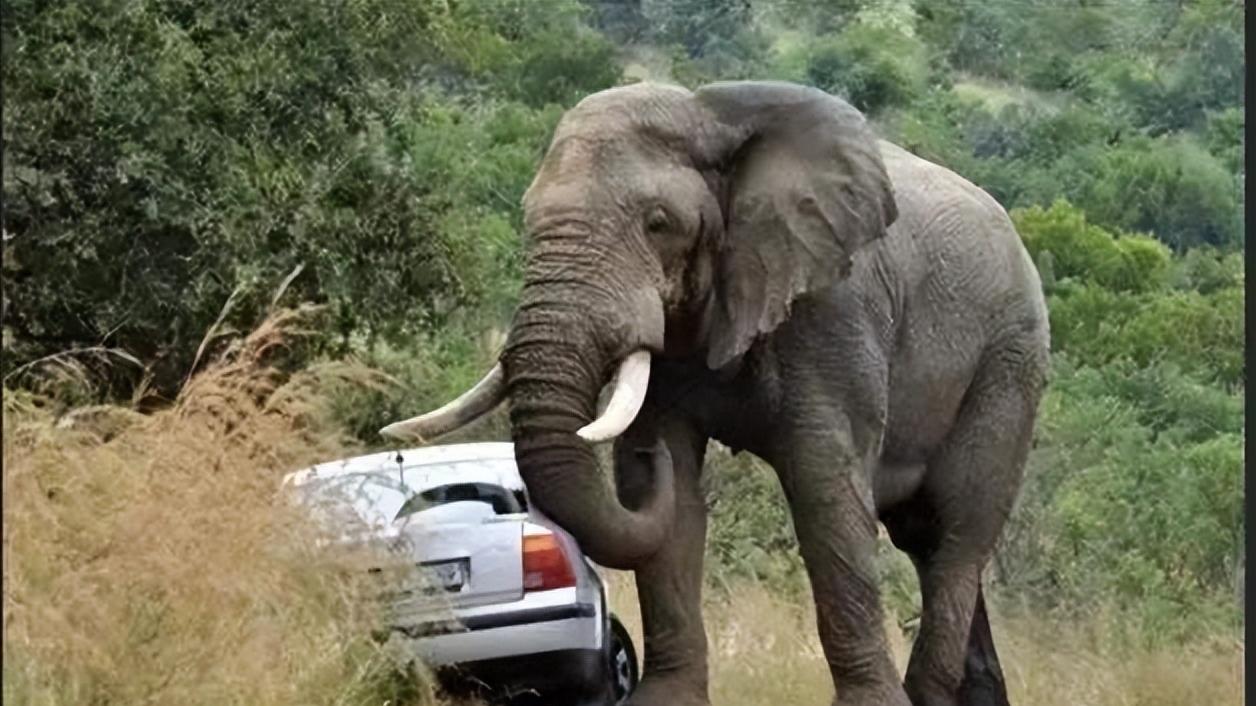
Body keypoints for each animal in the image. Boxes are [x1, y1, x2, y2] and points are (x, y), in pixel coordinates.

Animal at [381, 78, 1050, 703]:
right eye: (528, 218)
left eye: (658, 223)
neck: (709, 114)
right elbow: (671, 494)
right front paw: (665, 698)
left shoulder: (836, 309)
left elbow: (824, 488)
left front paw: (872, 704)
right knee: (924, 538)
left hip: (1009, 360)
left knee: (959, 528)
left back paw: (927, 695)